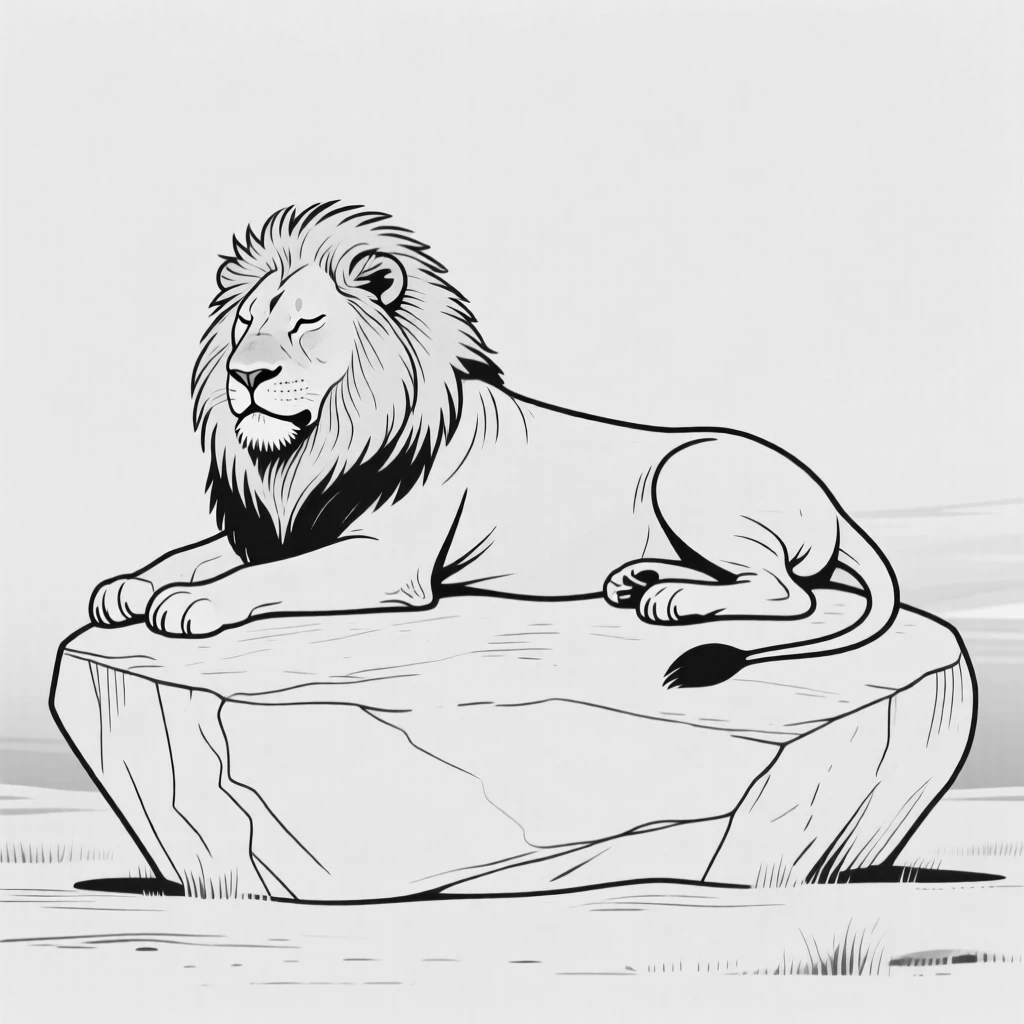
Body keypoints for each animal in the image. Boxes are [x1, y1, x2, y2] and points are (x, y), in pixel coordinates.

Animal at [90, 201, 899, 687]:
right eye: (243, 323)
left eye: (307, 322)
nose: (245, 374)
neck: (310, 449)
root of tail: (830, 501)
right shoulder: (281, 526)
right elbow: (193, 555)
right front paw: (128, 586)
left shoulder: (388, 562)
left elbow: (258, 579)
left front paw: (189, 604)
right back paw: (637, 579)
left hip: (688, 472)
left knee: (787, 591)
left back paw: (673, 599)